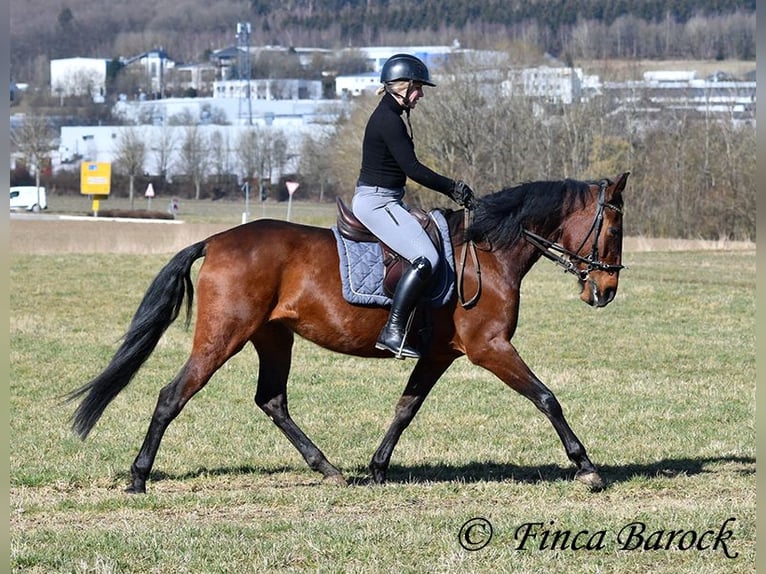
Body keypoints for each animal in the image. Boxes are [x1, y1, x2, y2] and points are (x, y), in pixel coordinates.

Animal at [66, 171, 632, 496]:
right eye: (613, 227)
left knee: (272, 400)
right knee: (172, 395)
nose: (606, 291)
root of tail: (218, 239)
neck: (490, 253)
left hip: (273, 337)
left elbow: (406, 408)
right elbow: (547, 397)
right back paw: (138, 477)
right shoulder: (489, 348)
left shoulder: (439, 355)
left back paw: (328, 469)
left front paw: (378, 468)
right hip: (222, 336)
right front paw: (586, 467)